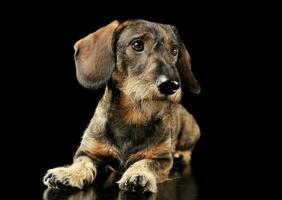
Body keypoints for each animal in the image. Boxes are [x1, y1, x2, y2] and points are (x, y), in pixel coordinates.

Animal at [43, 19, 202, 193]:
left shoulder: (161, 158)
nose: (171, 85)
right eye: (137, 45)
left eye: (174, 50)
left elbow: (145, 163)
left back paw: (180, 155)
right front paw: (69, 173)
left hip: (191, 131)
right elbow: (82, 162)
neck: (134, 115)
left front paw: (139, 175)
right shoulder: (88, 151)